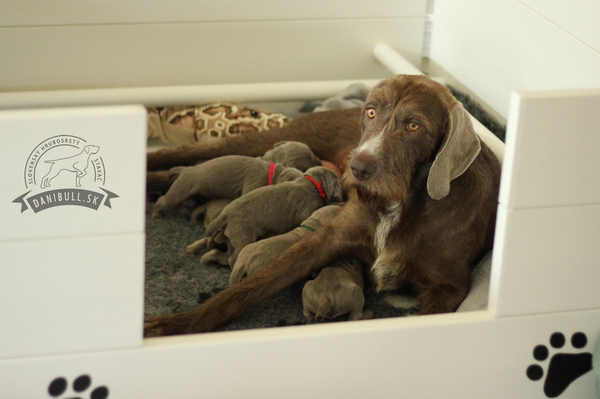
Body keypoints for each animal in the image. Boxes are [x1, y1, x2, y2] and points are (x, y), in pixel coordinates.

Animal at [204, 167, 342, 268]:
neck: (311, 183)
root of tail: (225, 214)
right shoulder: (308, 208)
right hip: (244, 235)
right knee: (233, 258)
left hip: (231, 236)